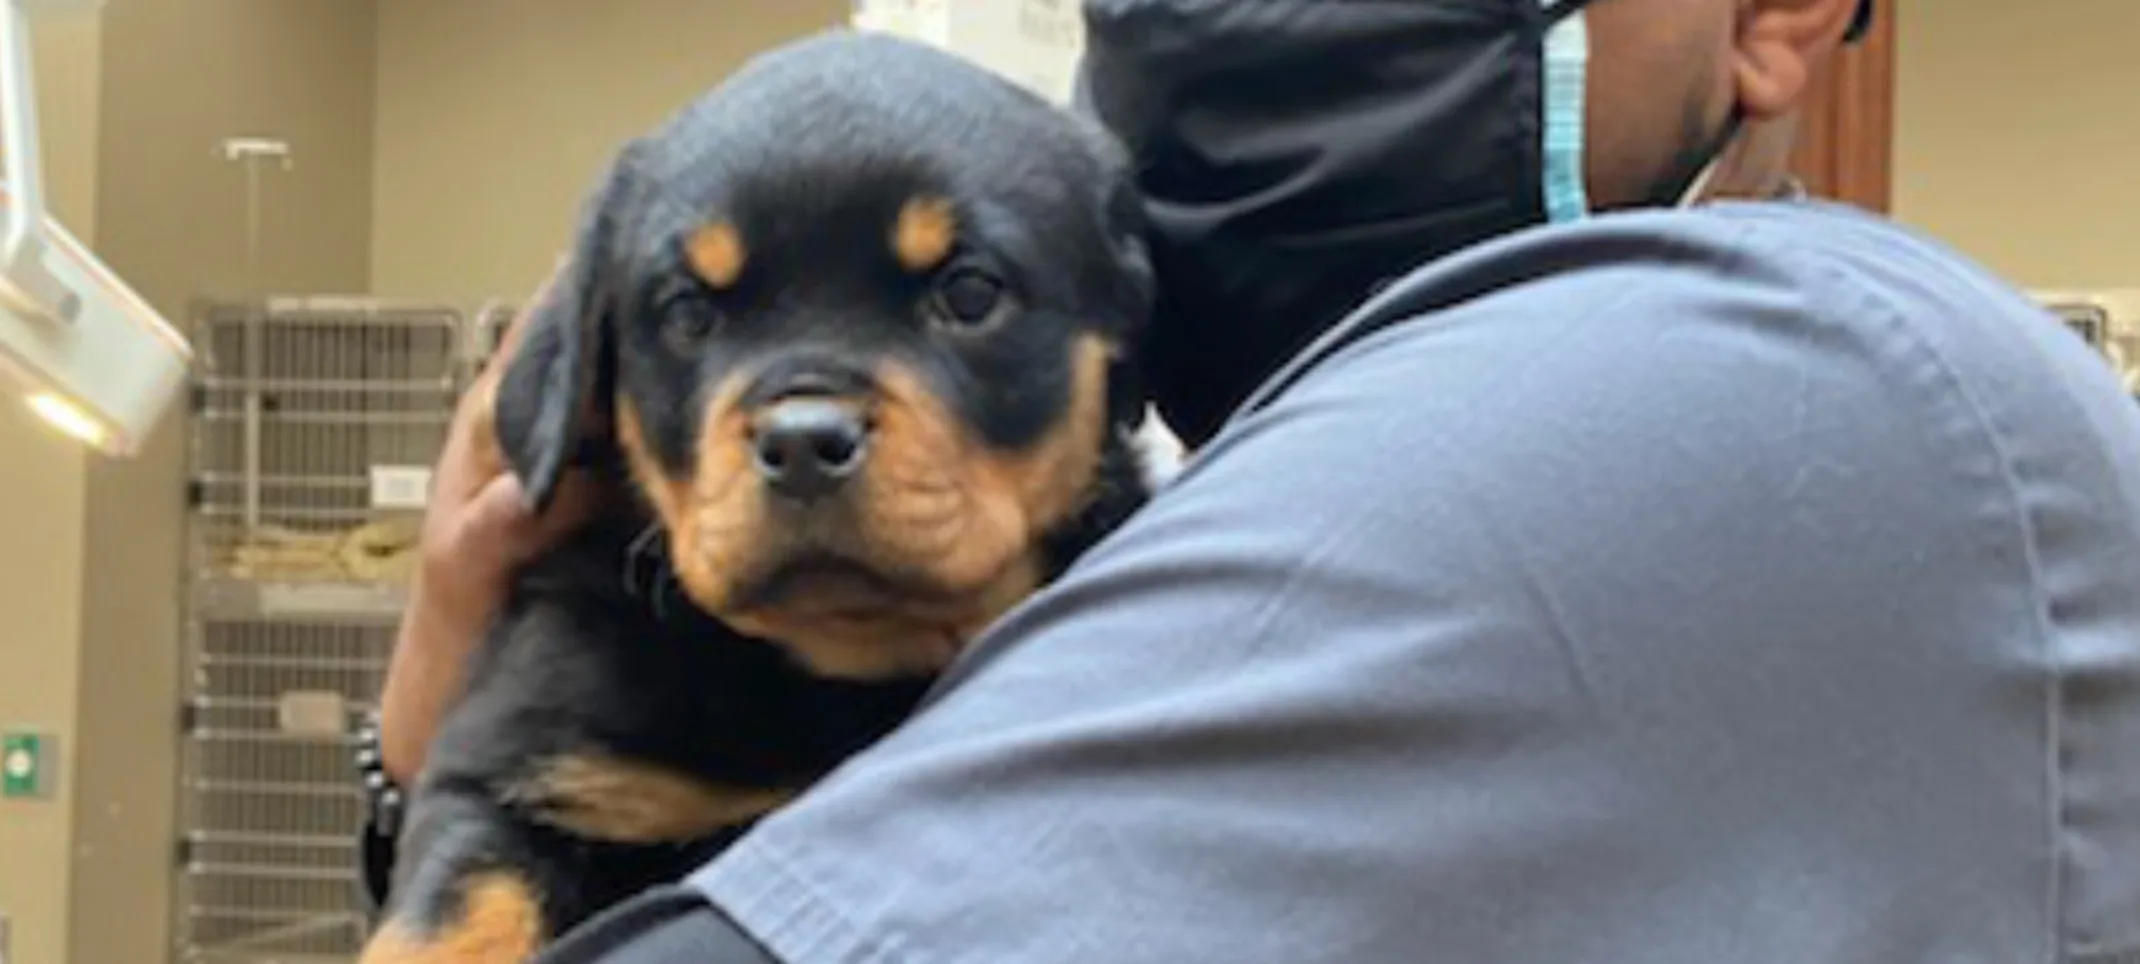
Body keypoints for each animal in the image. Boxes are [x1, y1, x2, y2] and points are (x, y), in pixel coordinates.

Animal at [363, 30, 1155, 964]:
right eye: (687, 311)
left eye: (969, 292)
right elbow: (453, 919)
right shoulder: (513, 765)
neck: (832, 667)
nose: (803, 442)